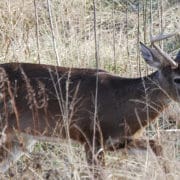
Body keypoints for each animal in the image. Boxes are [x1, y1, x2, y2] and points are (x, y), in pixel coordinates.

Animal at [0, 33, 179, 174]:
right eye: (177, 79)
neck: (122, 104)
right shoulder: (91, 137)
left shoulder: (119, 141)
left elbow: (156, 145)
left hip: (20, 139)